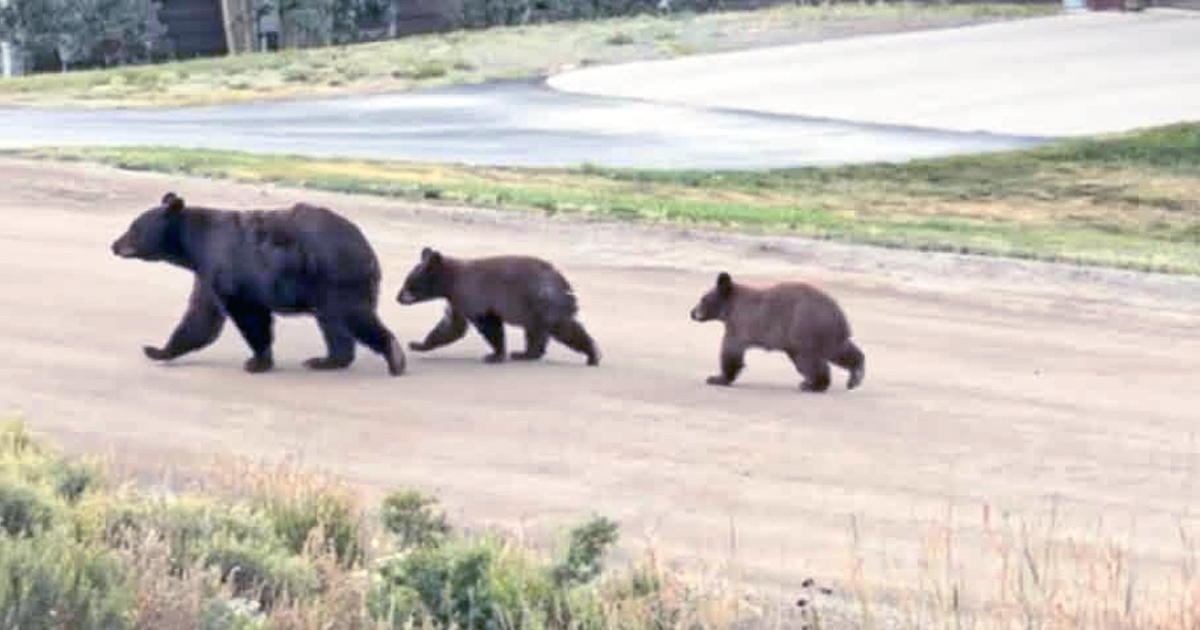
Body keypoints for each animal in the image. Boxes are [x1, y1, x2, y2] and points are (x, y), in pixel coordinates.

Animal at [110, 192, 406, 376]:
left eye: (134, 228)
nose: (114, 244)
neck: (195, 245)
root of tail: (368, 250)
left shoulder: (230, 267)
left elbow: (248, 315)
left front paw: (257, 361)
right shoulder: (208, 274)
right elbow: (201, 316)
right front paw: (158, 351)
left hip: (335, 277)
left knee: (352, 316)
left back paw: (394, 356)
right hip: (327, 287)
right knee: (333, 324)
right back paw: (326, 360)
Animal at [396, 247, 600, 366]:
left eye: (409, 283)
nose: (397, 297)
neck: (450, 282)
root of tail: (564, 282)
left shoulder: (472, 294)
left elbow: (488, 324)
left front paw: (495, 355)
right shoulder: (457, 301)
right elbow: (451, 326)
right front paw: (418, 344)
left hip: (544, 301)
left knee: (564, 328)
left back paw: (593, 354)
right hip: (533, 308)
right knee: (536, 332)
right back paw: (526, 354)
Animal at [689, 271, 864, 392]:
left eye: (702, 299)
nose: (692, 313)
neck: (730, 307)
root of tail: (839, 315)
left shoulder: (739, 324)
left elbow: (731, 351)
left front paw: (717, 378)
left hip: (804, 331)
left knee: (809, 360)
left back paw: (813, 384)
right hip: (826, 334)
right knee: (840, 350)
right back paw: (855, 376)